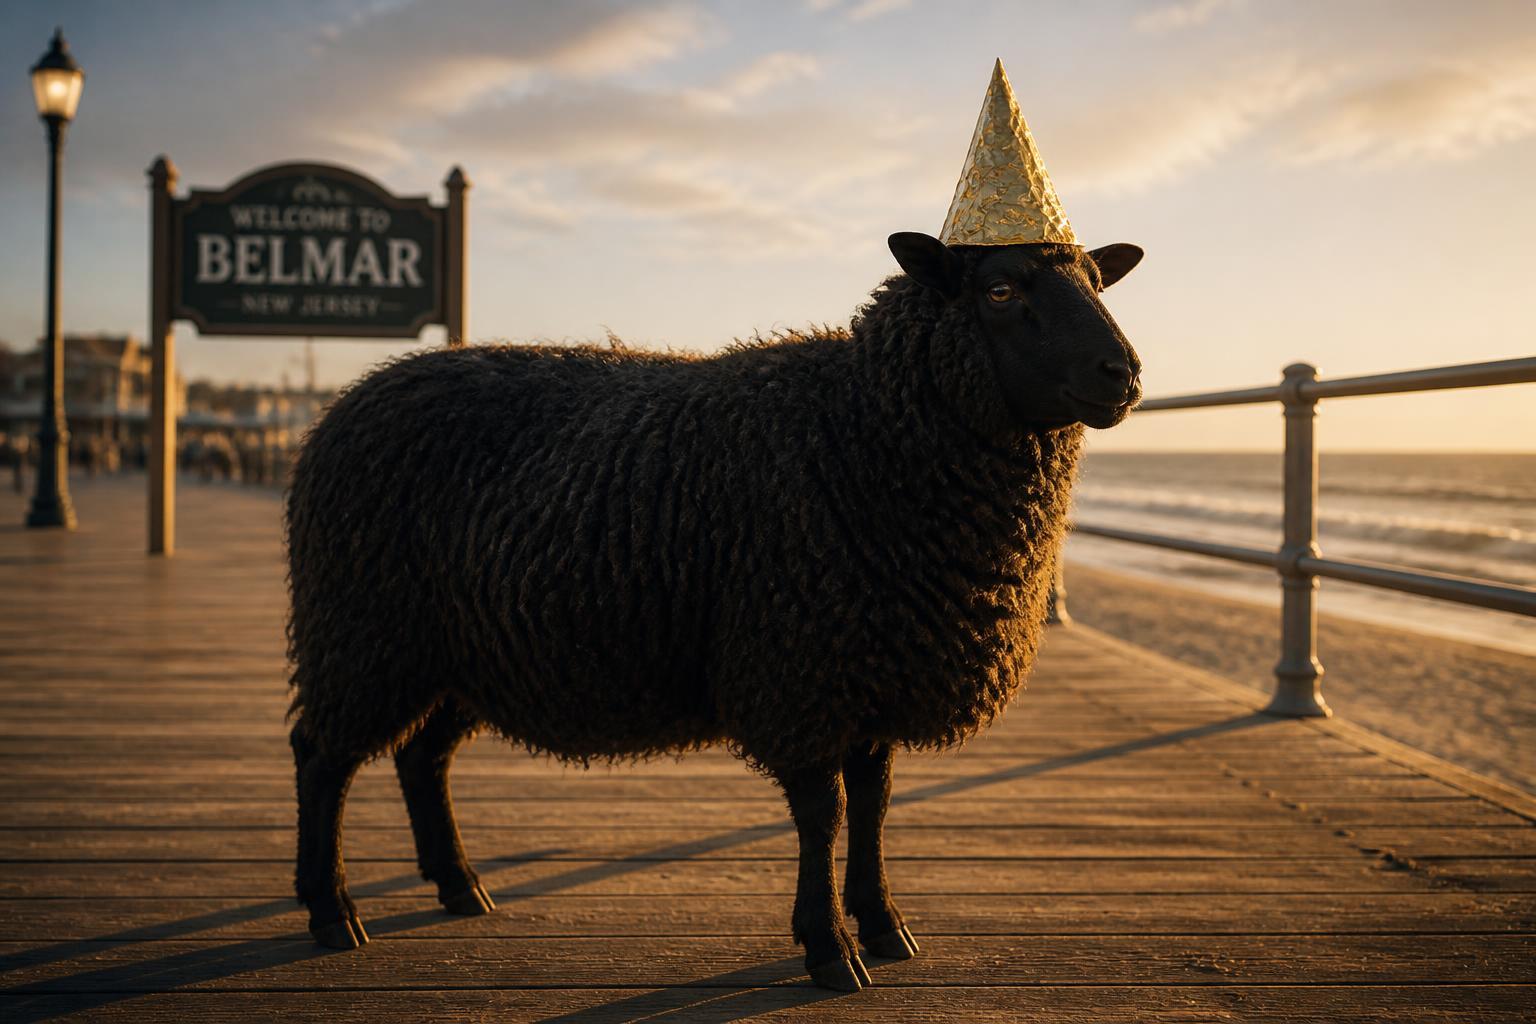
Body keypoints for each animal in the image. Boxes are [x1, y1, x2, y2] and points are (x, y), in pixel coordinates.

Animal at [286, 232, 1144, 991]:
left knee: (421, 757)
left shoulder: (872, 670)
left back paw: (459, 885)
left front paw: (884, 925)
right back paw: (332, 910)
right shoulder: (800, 670)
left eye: (1097, 281)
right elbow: (823, 812)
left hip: (457, 655)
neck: (864, 425)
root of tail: (349, 402)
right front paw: (829, 950)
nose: (1125, 373)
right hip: (363, 635)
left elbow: (874, 804)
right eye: (999, 290)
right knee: (321, 756)